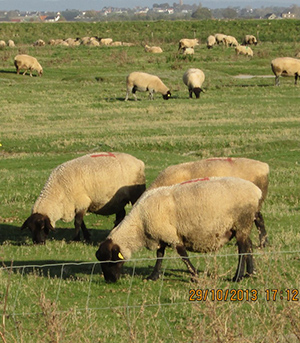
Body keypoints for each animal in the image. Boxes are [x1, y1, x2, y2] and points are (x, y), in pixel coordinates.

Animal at [96, 176, 262, 284]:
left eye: (110, 260)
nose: (110, 280)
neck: (139, 225)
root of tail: (256, 191)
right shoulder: (160, 236)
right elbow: (160, 255)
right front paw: (153, 276)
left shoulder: (171, 235)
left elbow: (183, 256)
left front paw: (195, 276)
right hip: (242, 225)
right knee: (249, 245)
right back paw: (250, 273)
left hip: (242, 221)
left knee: (242, 249)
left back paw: (237, 277)